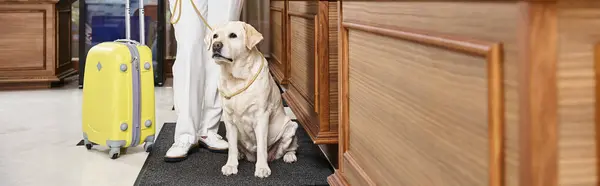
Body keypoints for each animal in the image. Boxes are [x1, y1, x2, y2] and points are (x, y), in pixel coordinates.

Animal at [205, 21, 298, 178]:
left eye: (233, 35)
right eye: (215, 36)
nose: (216, 45)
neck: (237, 78)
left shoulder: (261, 116)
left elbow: (261, 147)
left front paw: (262, 168)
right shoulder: (229, 119)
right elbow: (232, 148)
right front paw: (231, 165)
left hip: (291, 126)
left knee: (290, 147)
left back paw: (289, 156)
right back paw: (240, 155)